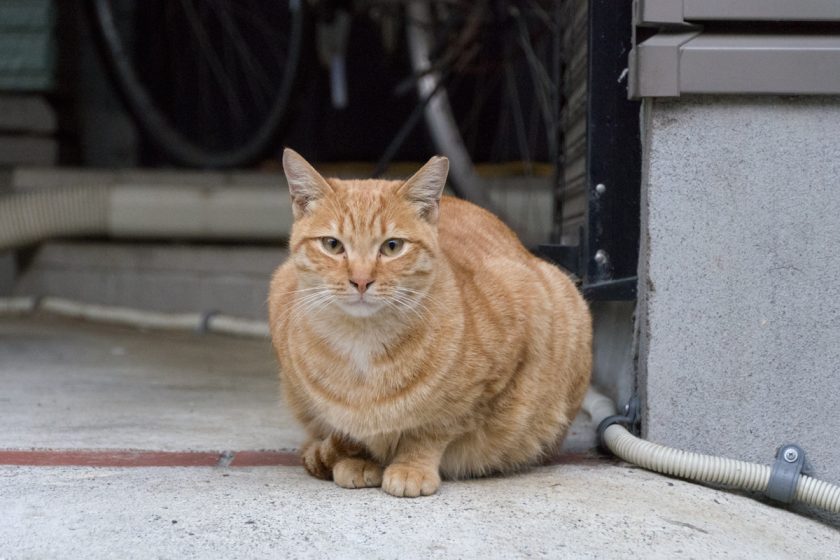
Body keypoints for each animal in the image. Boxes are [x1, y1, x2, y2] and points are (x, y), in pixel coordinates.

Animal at [270, 150, 592, 498]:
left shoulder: (489, 380)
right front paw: (359, 460)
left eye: (392, 246)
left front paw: (411, 466)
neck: (362, 343)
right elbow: (351, 430)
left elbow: (431, 430)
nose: (361, 280)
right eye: (332, 245)